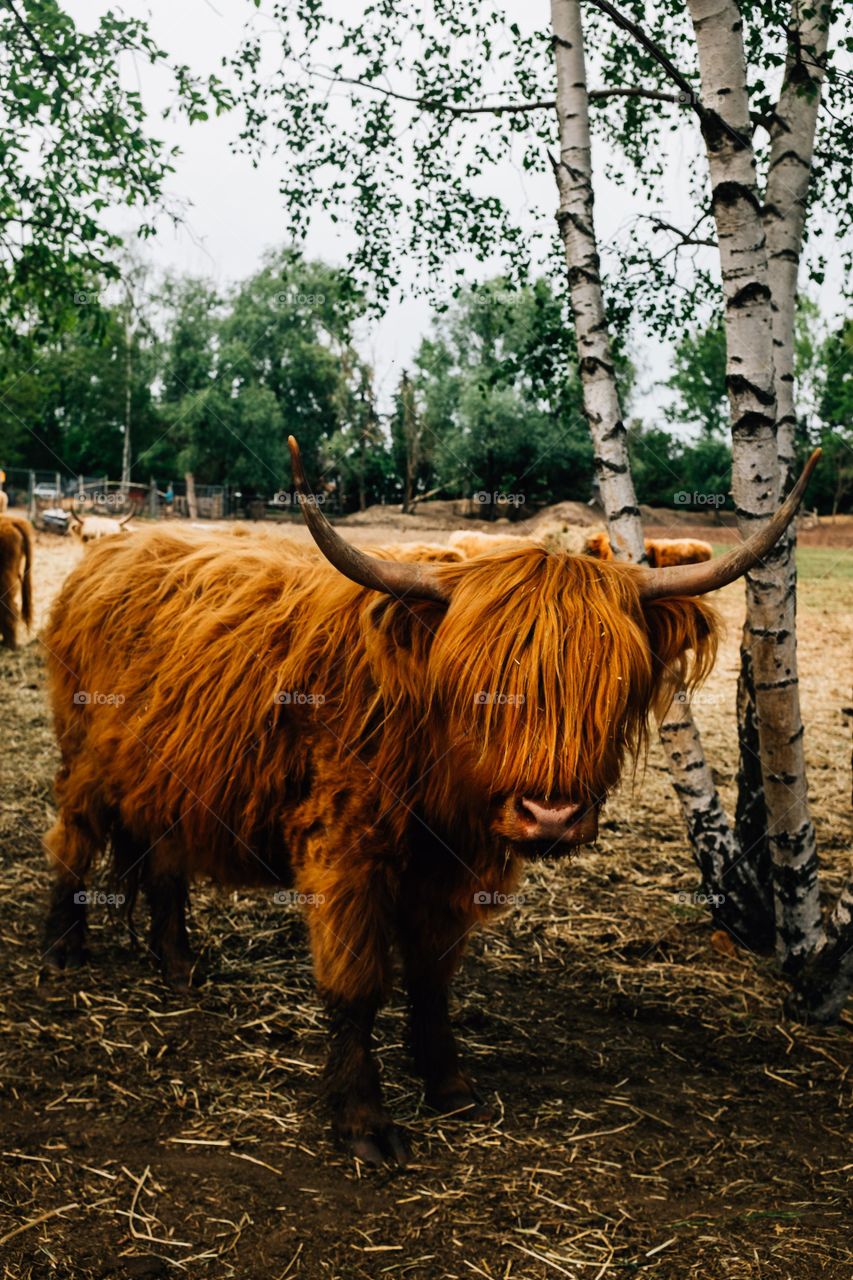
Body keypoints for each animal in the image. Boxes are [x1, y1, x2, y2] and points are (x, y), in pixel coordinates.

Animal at [40, 441, 819, 1165]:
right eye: (481, 684)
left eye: (613, 681)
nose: (551, 816)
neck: (438, 775)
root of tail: (113, 550)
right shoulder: (343, 848)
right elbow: (355, 985)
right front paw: (363, 1121)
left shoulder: (452, 870)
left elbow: (431, 978)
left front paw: (449, 1087)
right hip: (85, 759)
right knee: (72, 841)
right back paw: (63, 948)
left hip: (165, 775)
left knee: (163, 862)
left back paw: (177, 966)